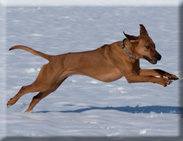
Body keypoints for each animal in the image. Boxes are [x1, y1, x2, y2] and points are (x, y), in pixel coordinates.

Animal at [7, 24, 179, 112]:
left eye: (155, 46)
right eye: (147, 47)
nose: (160, 57)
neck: (127, 51)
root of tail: (52, 57)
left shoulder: (135, 71)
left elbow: (158, 70)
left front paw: (171, 76)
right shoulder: (131, 77)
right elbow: (151, 77)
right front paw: (163, 81)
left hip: (52, 85)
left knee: (35, 97)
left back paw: (27, 115)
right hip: (45, 82)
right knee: (24, 88)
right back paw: (11, 103)